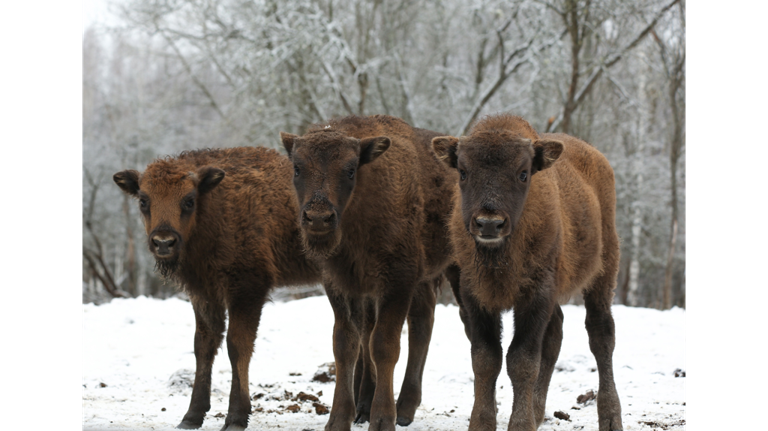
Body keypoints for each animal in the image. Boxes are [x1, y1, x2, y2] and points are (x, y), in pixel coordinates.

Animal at [112, 147, 320, 430]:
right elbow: (204, 345)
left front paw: (236, 417)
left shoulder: (248, 289)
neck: (215, 205)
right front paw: (191, 416)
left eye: (189, 200)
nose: (164, 242)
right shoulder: (204, 292)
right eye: (144, 200)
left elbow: (237, 345)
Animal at [282, 115, 460, 431]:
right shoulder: (342, 284)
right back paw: (390, 406)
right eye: (297, 168)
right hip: (418, 283)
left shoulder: (398, 281)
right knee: (420, 324)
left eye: (351, 169)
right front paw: (339, 418)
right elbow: (346, 344)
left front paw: (382, 419)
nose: (318, 218)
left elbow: (384, 345)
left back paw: (403, 409)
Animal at [432, 115, 624, 431]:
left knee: (601, 335)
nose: (489, 223)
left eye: (523, 174)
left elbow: (521, 361)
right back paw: (538, 410)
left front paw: (520, 423)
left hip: (604, 271)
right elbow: (485, 359)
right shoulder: (474, 295)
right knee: (556, 332)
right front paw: (482, 423)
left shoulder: (535, 295)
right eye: (463, 171)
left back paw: (610, 417)